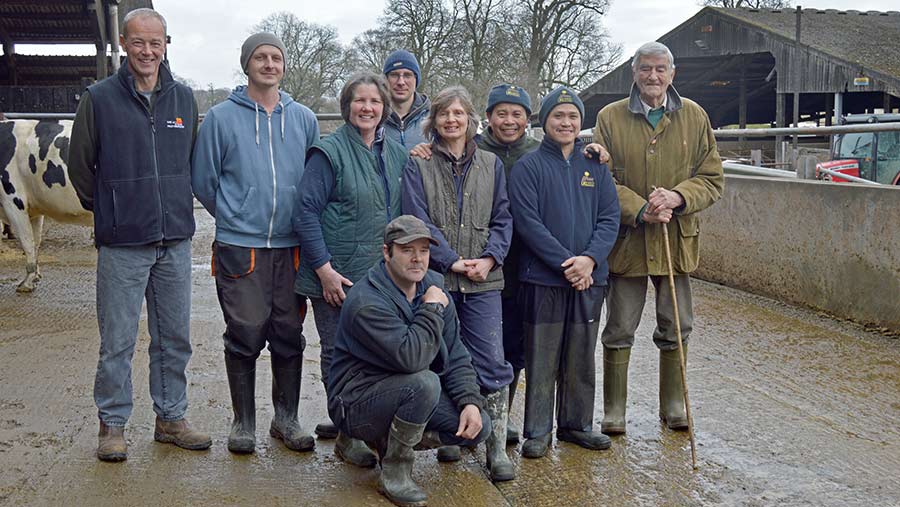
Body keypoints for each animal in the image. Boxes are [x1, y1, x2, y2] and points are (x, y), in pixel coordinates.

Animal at [0, 120, 91, 294]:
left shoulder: (13, 201)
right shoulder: (34, 209)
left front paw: (27, 283)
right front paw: (35, 277)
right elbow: (35, 241)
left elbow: (27, 241)